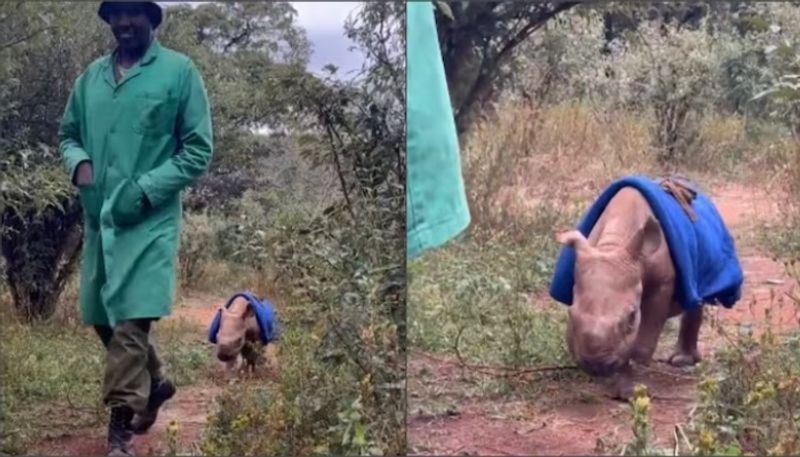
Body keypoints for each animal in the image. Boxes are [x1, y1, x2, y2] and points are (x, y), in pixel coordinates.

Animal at [556, 187, 700, 398]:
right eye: (570, 314)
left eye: (631, 317)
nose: (596, 365)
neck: (614, 243)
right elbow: (625, 346)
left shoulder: (663, 283)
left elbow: (640, 346)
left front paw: (632, 393)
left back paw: (682, 361)